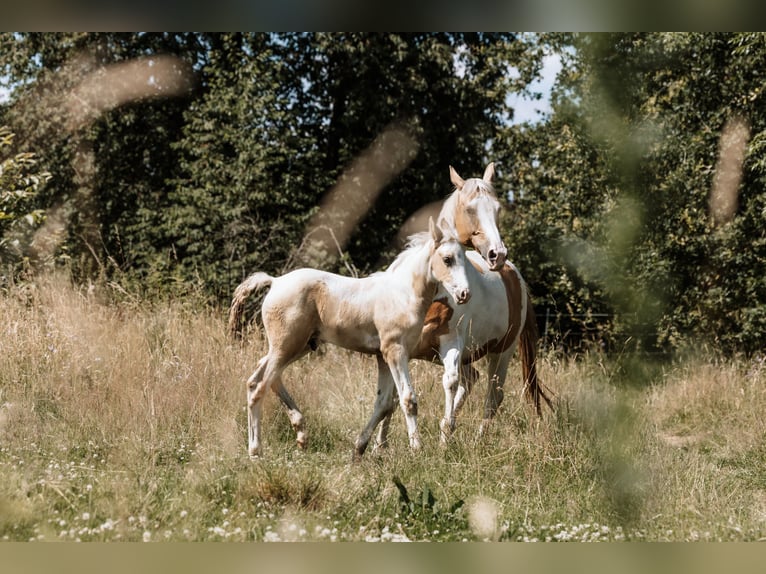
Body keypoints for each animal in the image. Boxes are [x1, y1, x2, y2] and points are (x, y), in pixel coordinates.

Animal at [238, 218, 474, 462]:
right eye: (447, 259)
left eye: (464, 258)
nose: (464, 294)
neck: (403, 294)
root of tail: (274, 282)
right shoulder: (395, 351)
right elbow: (408, 399)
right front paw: (417, 449)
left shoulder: (384, 357)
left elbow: (383, 404)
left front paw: (359, 449)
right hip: (286, 346)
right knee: (259, 387)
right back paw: (256, 451)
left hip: (298, 347)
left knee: (258, 379)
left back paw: (299, 434)